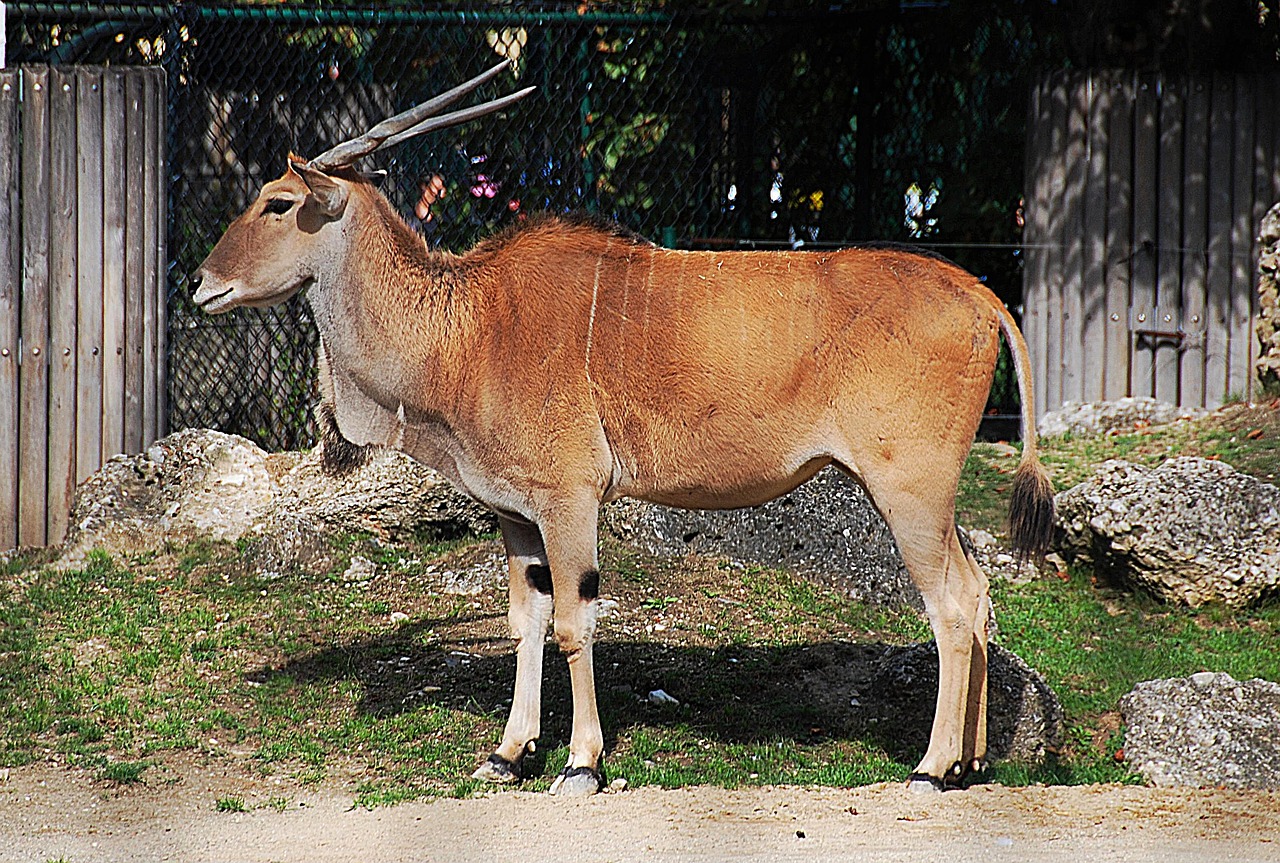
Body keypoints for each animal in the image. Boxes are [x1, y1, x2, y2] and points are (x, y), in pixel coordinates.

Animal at [189, 60, 1049, 798]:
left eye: (277, 202)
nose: (200, 282)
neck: (466, 326)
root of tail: (977, 293)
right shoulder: (517, 516)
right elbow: (525, 622)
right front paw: (509, 753)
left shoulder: (570, 501)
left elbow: (574, 624)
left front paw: (581, 763)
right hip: (926, 498)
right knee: (978, 592)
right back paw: (972, 764)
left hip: (908, 491)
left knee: (952, 605)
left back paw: (932, 769)